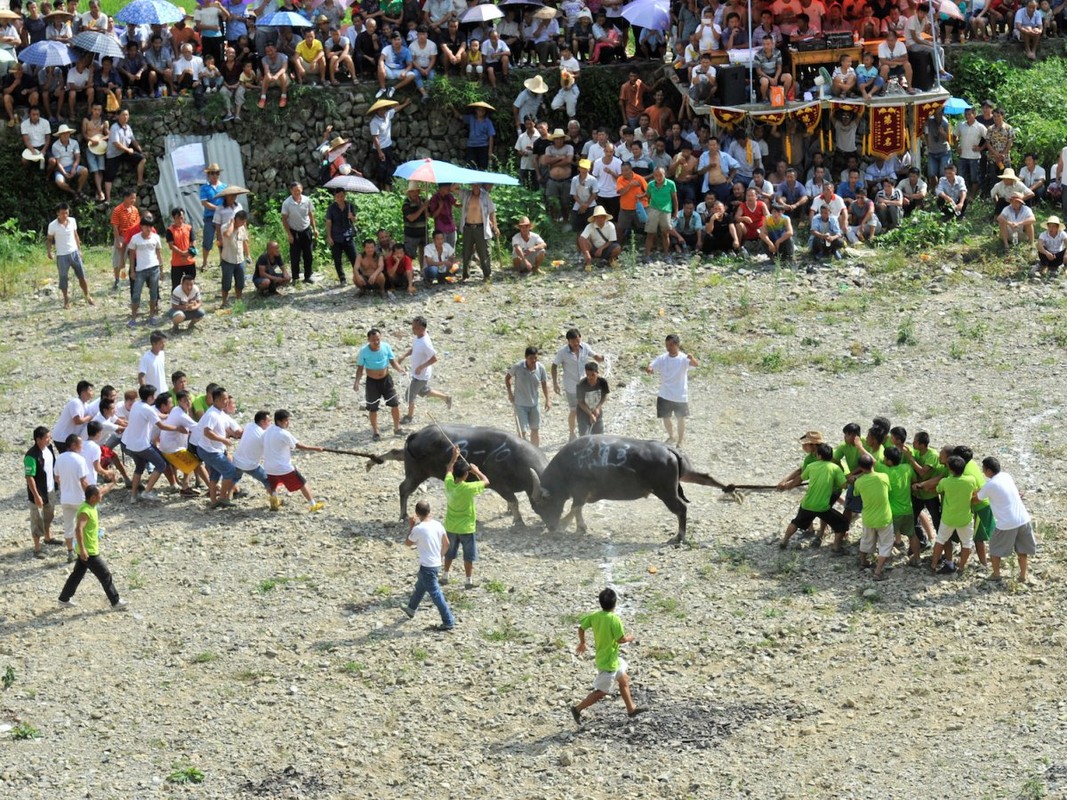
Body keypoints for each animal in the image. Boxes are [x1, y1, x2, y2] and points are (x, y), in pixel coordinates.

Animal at [369, 422, 550, 529]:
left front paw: (509, 513)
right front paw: (519, 522)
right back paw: (404, 515)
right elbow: (514, 501)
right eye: (545, 503)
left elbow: (511, 503)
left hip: (411, 465)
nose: (552, 527)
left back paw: (372, 462)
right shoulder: (500, 486)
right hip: (416, 473)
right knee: (404, 488)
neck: (513, 458)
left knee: (396, 453)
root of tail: (417, 434)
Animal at [527, 439, 729, 546]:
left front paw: (566, 524)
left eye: (542, 506)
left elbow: (575, 508)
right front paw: (578, 526)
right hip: (685, 473)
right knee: (705, 477)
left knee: (681, 508)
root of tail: (668, 449)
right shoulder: (581, 496)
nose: (550, 527)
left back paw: (679, 536)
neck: (569, 465)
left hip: (666, 492)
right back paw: (729, 488)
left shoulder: (580, 493)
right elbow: (577, 509)